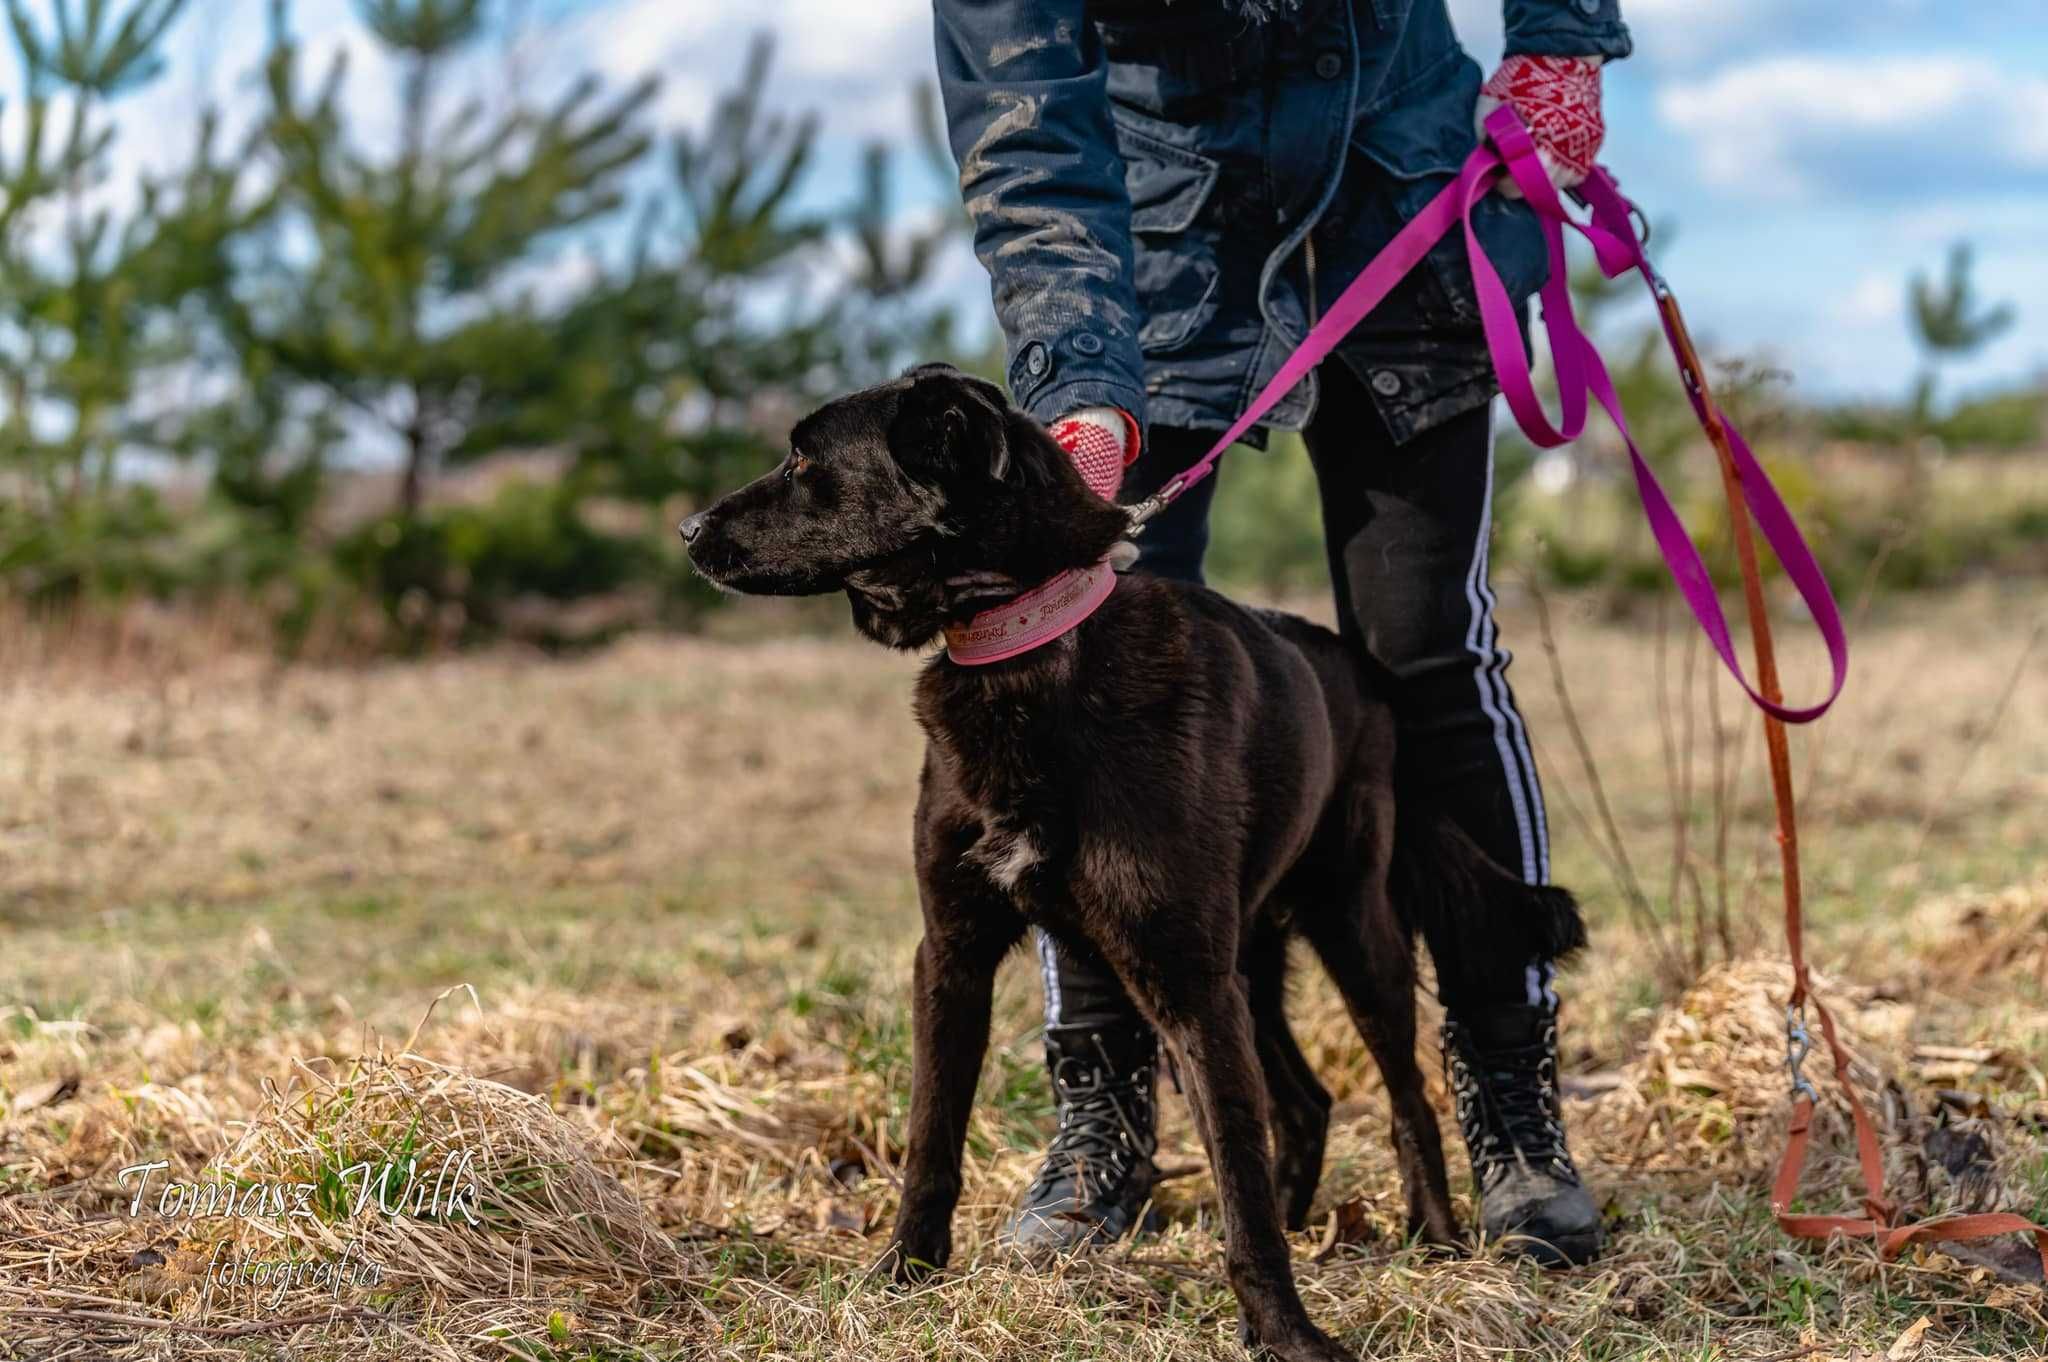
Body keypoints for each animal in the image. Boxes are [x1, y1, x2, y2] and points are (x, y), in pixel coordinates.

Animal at [688, 364, 1581, 1359]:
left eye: (804, 460)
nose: (687, 530)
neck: (1026, 650)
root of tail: (1362, 673)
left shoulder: (1186, 979)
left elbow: (1238, 1177)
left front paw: (1286, 1333)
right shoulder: (953, 954)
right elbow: (932, 1138)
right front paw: (901, 1276)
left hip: (1350, 929)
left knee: (1406, 1091)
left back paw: (1435, 1234)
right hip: (1240, 963)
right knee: (1303, 1100)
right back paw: (1306, 1215)